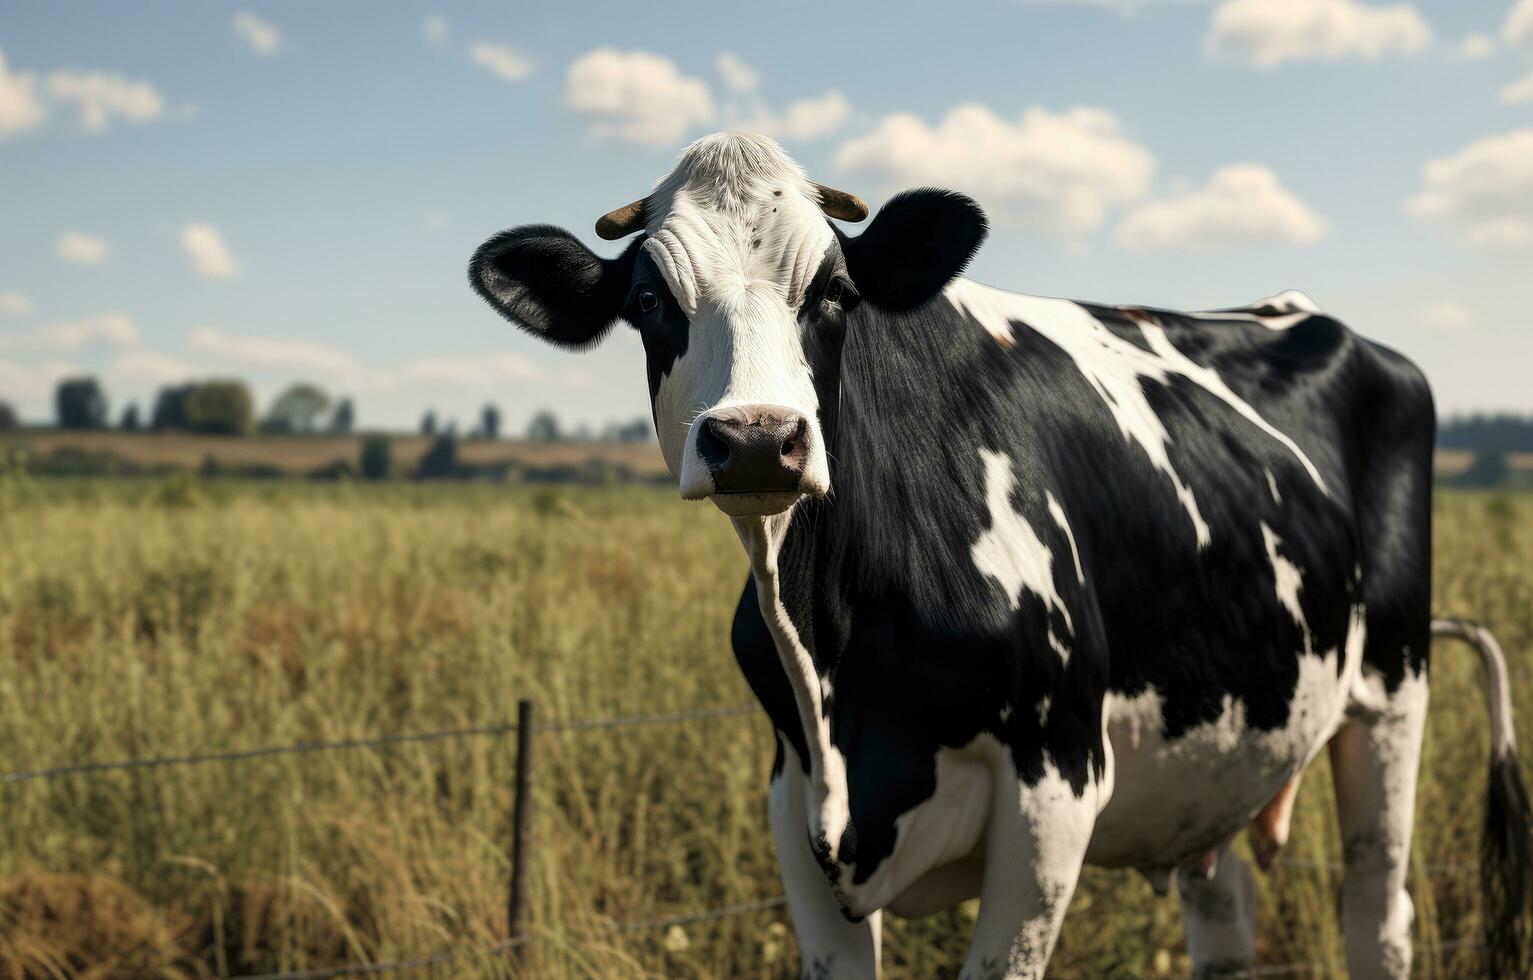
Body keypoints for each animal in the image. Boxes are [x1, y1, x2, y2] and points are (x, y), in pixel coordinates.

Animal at [469, 131, 1533, 980]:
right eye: (650, 297)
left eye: (835, 291)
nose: (759, 438)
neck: (841, 671)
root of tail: (1300, 311)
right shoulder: (793, 798)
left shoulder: (1053, 787)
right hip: (1221, 746)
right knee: (1225, 920)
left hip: (1390, 696)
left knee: (1378, 915)